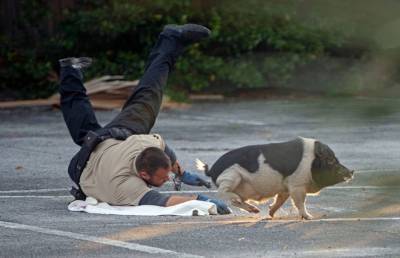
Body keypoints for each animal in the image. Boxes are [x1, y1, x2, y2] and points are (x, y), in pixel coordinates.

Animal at [197, 137, 354, 220]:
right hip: (231, 176)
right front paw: (309, 217)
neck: (310, 163)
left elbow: (280, 201)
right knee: (224, 194)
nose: (352, 171)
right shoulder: (297, 185)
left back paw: (255, 211)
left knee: (237, 201)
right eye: (331, 161)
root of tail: (212, 170)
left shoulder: (285, 188)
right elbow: (300, 202)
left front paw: (271, 214)